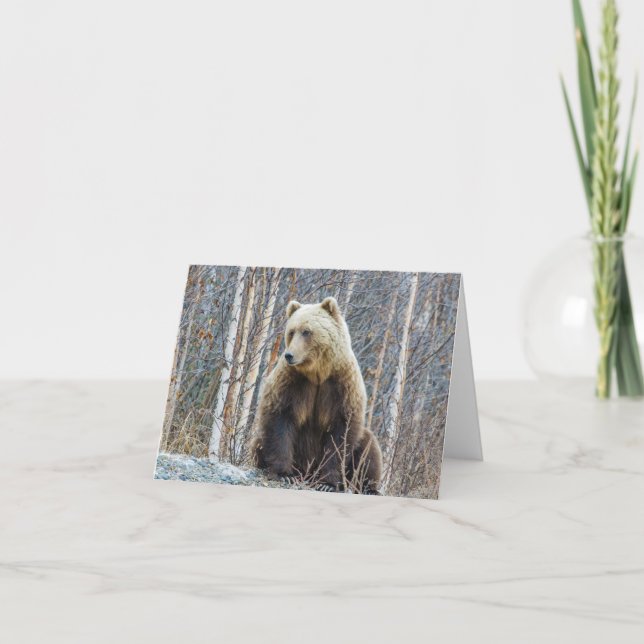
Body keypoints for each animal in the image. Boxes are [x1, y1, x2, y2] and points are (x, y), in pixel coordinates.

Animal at [251, 296, 382, 494]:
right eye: (291, 331)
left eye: (306, 331)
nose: (289, 355)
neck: (317, 372)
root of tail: (308, 473)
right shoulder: (292, 382)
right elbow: (280, 419)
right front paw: (284, 474)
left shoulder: (341, 385)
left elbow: (341, 433)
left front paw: (327, 483)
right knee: (260, 441)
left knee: (369, 447)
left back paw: (369, 488)